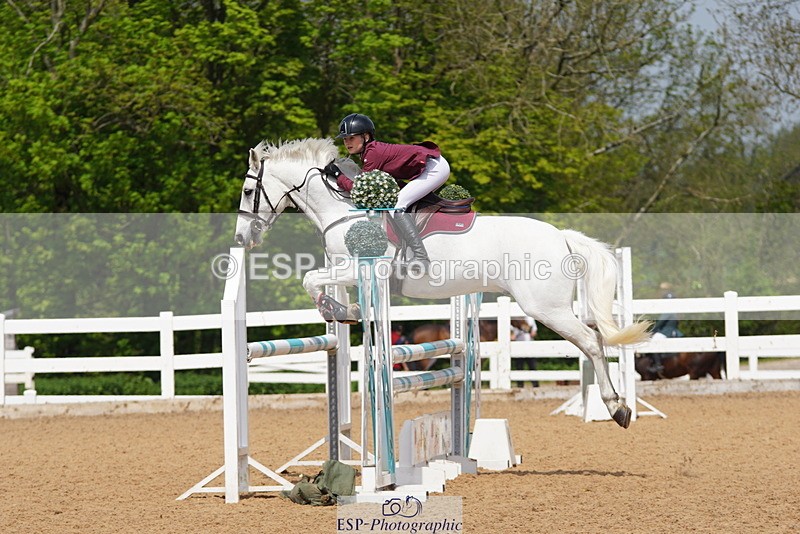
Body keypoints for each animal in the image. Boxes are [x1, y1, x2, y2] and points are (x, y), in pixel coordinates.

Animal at [234, 137, 651, 428]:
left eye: (249, 191)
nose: (242, 238)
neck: (343, 210)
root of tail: (561, 236)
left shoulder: (363, 268)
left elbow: (310, 278)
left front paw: (334, 308)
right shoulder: (347, 269)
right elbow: (322, 282)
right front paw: (345, 309)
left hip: (547, 308)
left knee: (592, 342)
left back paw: (617, 407)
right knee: (594, 340)